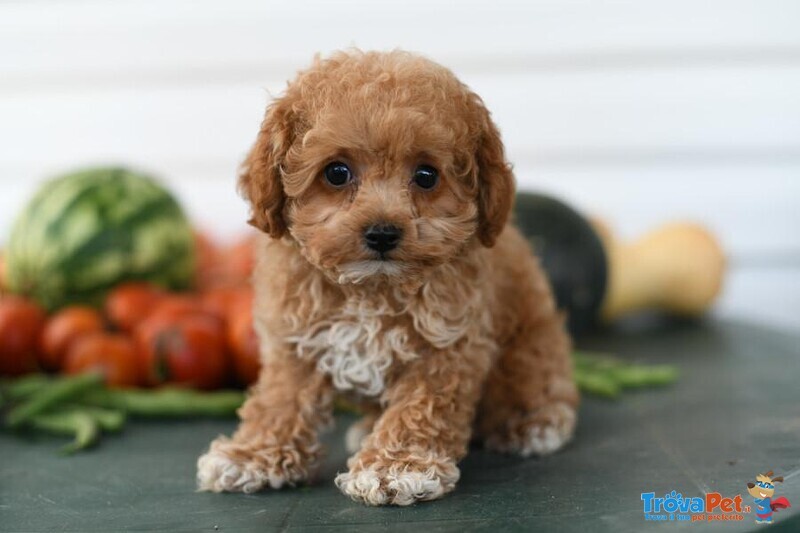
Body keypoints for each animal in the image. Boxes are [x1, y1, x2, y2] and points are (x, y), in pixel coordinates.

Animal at [197, 52, 580, 504]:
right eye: (337, 172)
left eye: (426, 176)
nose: (382, 233)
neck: (370, 291)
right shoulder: (294, 339)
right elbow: (280, 398)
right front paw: (252, 454)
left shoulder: (447, 346)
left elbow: (420, 405)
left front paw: (397, 465)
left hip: (532, 347)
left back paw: (533, 422)